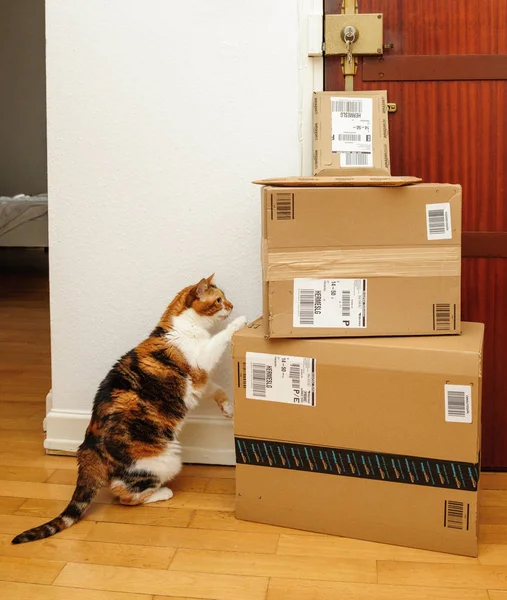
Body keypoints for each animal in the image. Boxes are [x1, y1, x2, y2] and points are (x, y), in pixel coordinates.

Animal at [11, 276, 246, 544]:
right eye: (218, 300)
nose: (231, 305)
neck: (183, 326)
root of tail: (88, 447)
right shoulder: (201, 360)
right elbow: (219, 340)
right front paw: (239, 322)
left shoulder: (200, 381)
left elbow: (217, 389)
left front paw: (227, 409)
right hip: (166, 459)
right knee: (124, 494)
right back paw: (163, 492)